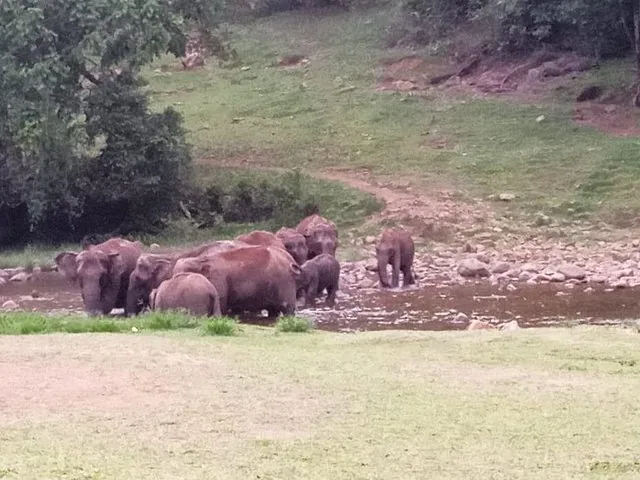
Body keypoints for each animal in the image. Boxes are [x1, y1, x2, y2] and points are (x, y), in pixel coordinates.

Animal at [173, 244, 301, 318]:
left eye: (184, 275)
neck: (200, 260)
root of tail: (291, 260)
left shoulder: (219, 281)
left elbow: (222, 306)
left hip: (285, 283)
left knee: (287, 309)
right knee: (273, 311)